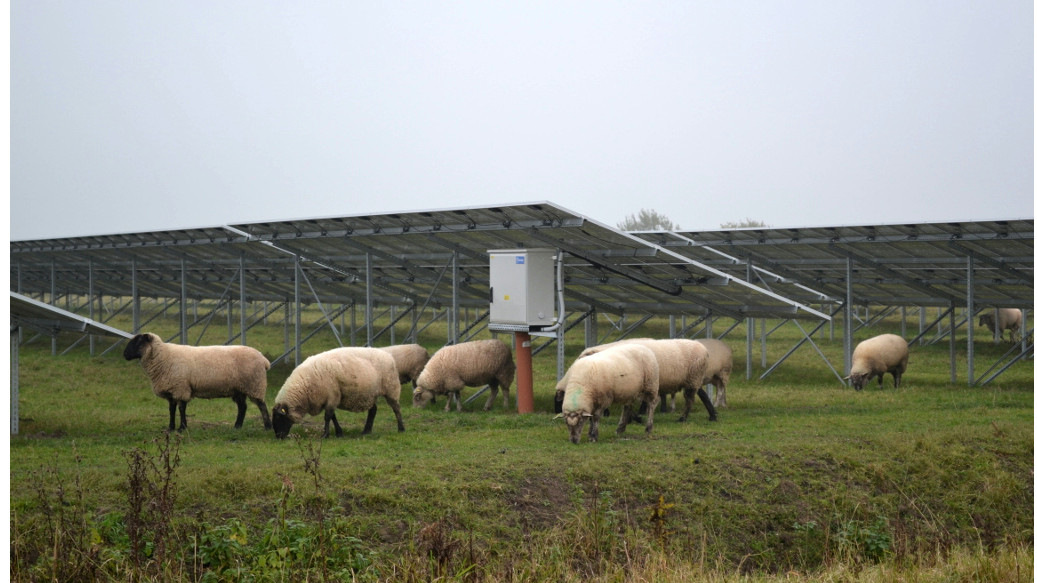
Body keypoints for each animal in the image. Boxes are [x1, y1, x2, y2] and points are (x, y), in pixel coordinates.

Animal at [122, 331, 271, 431]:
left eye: (138, 342)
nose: (124, 355)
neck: (164, 357)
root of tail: (263, 359)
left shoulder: (181, 388)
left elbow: (181, 408)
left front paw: (182, 428)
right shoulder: (172, 390)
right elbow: (171, 409)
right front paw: (171, 427)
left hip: (255, 385)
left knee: (262, 406)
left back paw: (267, 426)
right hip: (239, 388)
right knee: (242, 407)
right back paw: (237, 426)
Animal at [271, 344, 404, 435]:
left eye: (278, 417)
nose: (278, 436)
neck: (305, 386)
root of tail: (388, 355)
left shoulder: (332, 395)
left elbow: (328, 416)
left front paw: (325, 434)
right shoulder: (329, 398)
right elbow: (333, 416)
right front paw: (338, 432)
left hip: (391, 389)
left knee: (396, 409)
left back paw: (401, 428)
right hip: (370, 393)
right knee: (373, 410)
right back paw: (366, 431)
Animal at [555, 336, 717, 421]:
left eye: (559, 401)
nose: (559, 416)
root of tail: (705, 350)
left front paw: (635, 416)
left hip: (693, 378)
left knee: (690, 399)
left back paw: (683, 418)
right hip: (693, 378)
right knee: (702, 395)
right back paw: (713, 415)